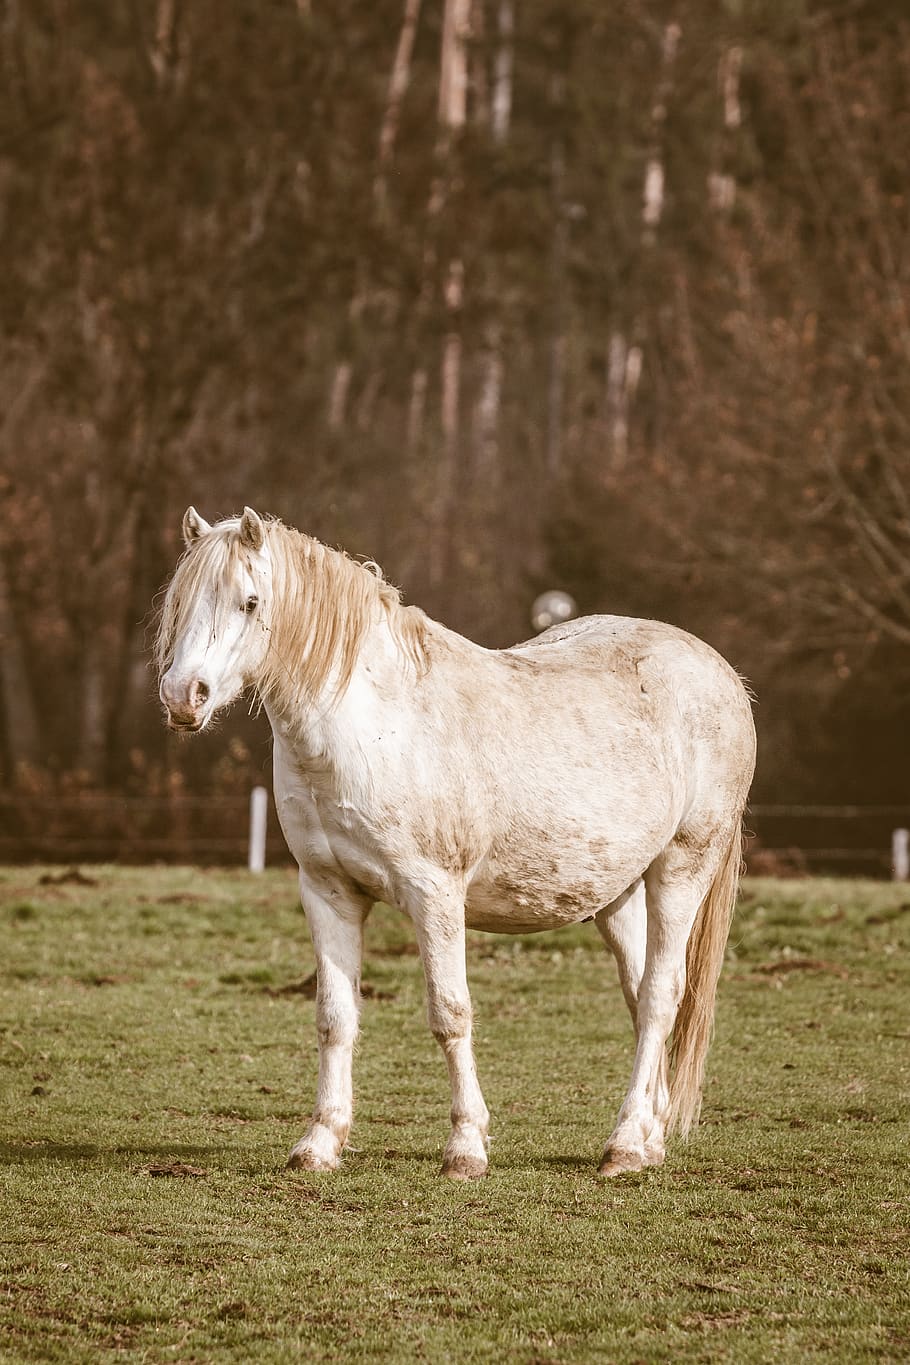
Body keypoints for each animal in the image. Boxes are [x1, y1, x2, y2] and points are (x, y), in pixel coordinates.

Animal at [156, 506, 755, 1180]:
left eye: (250, 601)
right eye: (180, 601)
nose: (184, 696)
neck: (374, 728)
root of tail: (718, 671)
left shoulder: (435, 895)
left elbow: (451, 1013)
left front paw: (466, 1148)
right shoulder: (329, 892)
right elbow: (334, 1018)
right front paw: (320, 1143)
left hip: (681, 870)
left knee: (659, 997)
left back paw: (625, 1144)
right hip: (618, 892)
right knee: (639, 993)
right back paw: (649, 1138)